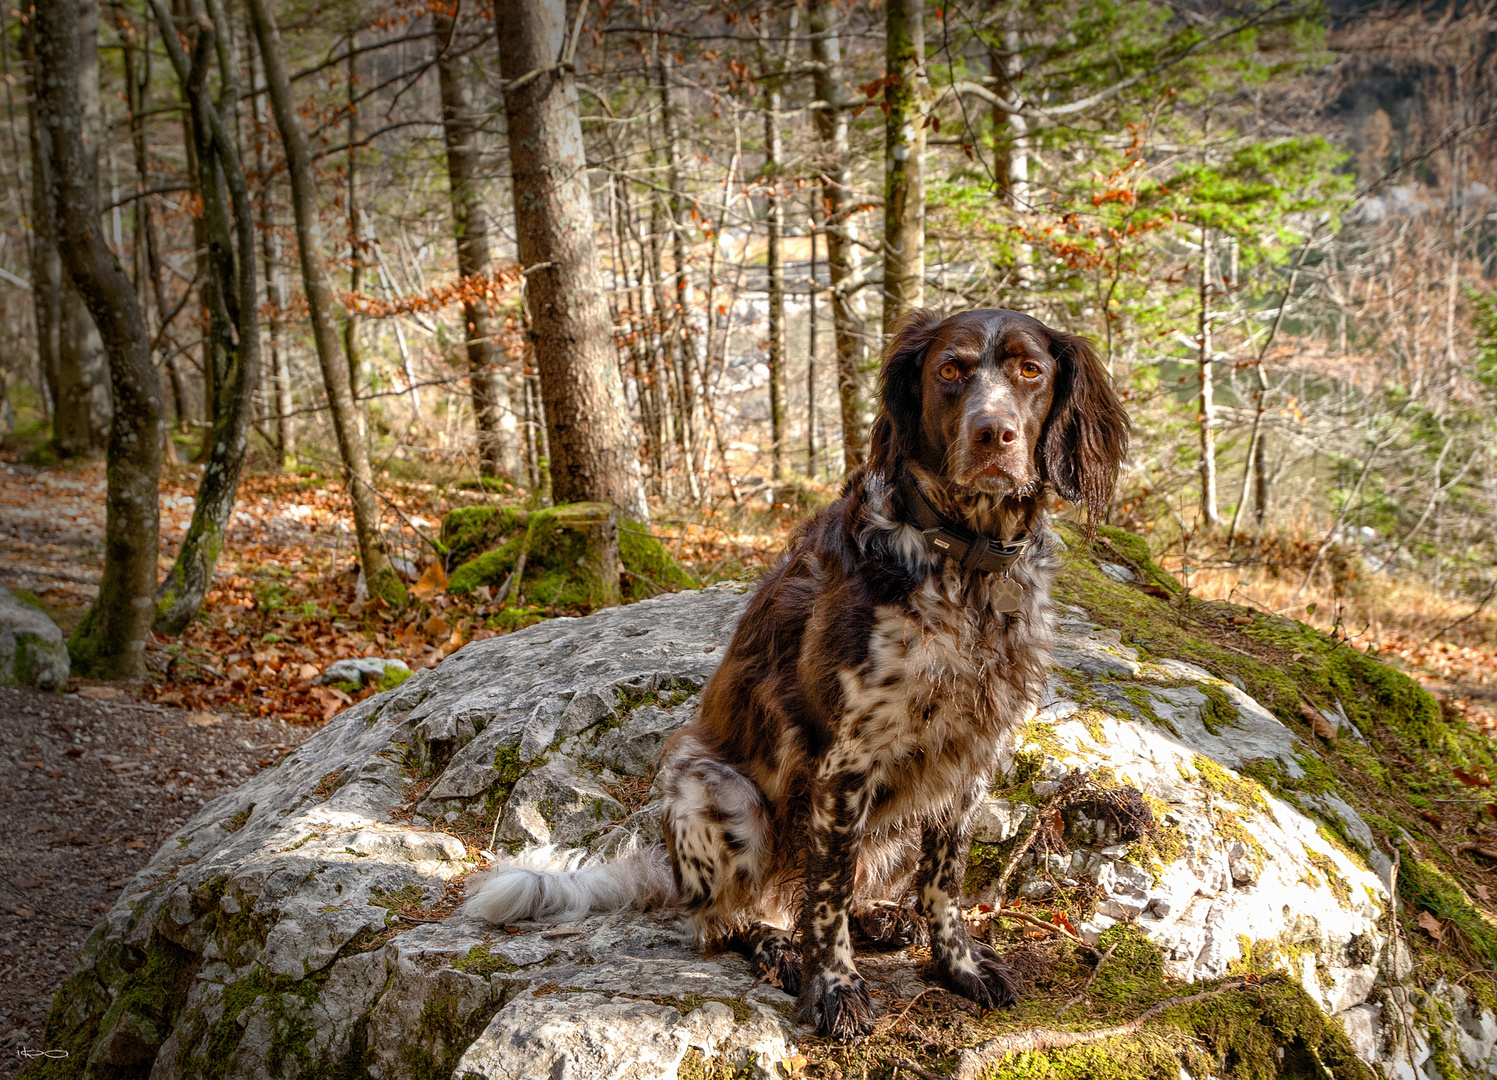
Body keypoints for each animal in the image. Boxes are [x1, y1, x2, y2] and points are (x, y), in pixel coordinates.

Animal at [464, 310, 1125, 1036]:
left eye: (1029, 371)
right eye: (950, 370)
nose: (992, 434)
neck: (966, 566)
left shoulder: (971, 759)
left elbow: (941, 885)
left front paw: (959, 965)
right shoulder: (843, 759)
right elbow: (827, 895)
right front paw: (834, 989)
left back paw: (881, 919)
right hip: (717, 793)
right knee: (722, 921)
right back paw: (775, 945)